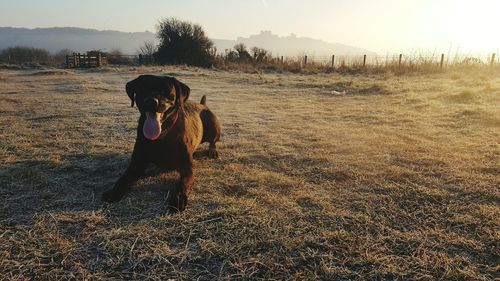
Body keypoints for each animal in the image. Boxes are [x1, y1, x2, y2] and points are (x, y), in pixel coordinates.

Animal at [101, 74, 219, 212]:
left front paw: (178, 198)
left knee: (213, 141)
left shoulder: (187, 167)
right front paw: (114, 191)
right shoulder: (137, 164)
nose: (151, 101)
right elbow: (124, 177)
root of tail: (202, 104)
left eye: (166, 91)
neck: (162, 136)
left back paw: (212, 151)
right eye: (143, 88)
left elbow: (182, 182)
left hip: (214, 126)